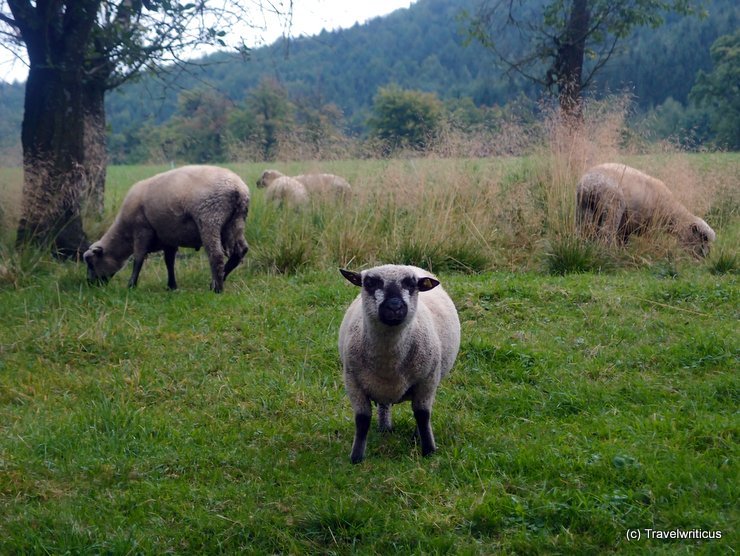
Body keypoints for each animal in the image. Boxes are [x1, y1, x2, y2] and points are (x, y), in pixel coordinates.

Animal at [83, 165, 250, 294]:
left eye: (91, 263)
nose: (90, 284)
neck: (124, 235)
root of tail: (237, 188)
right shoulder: (170, 237)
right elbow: (169, 261)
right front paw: (171, 286)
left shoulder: (142, 229)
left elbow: (138, 258)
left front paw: (131, 285)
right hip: (236, 221)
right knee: (240, 251)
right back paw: (219, 280)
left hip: (210, 218)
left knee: (216, 255)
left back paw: (217, 288)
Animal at [338, 262, 460, 462]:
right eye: (370, 283)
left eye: (411, 284)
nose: (394, 307)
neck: (389, 362)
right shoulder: (353, 382)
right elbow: (362, 420)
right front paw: (356, 458)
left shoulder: (427, 380)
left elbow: (422, 415)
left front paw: (429, 450)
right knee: (384, 404)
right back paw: (384, 427)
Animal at [576, 161, 712, 256]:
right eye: (703, 238)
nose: (705, 256)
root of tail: (590, 183)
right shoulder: (649, 225)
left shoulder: (626, 226)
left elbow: (623, 241)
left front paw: (623, 253)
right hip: (612, 206)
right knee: (606, 232)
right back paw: (605, 253)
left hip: (583, 208)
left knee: (583, 229)